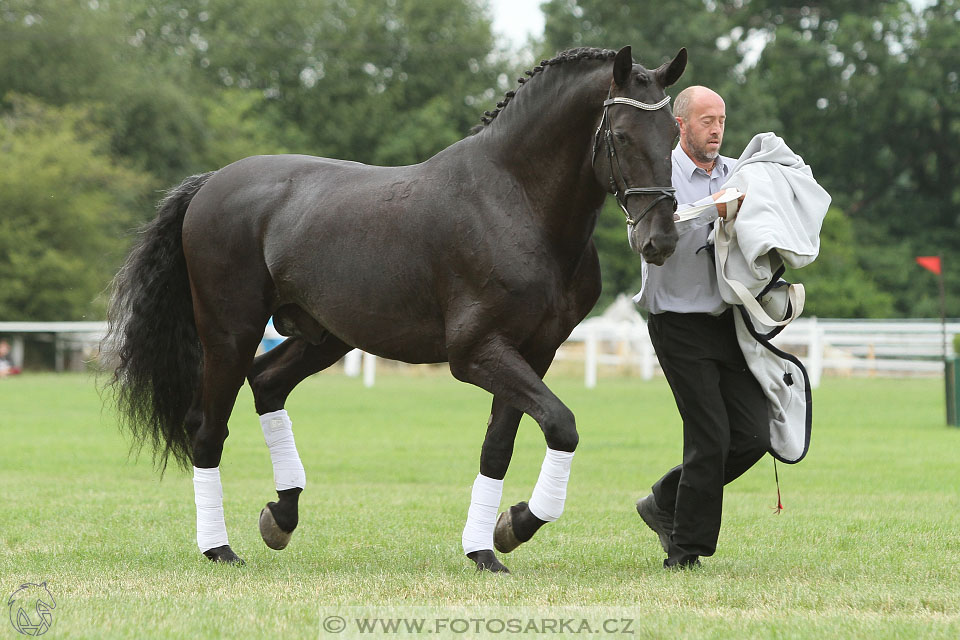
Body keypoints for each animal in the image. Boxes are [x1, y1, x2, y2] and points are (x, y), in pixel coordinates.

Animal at [107, 46, 684, 576]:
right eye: (623, 136)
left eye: (675, 136)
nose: (659, 241)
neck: (516, 201)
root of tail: (212, 182)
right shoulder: (476, 353)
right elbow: (562, 425)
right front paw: (512, 527)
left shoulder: (534, 352)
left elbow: (499, 446)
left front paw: (491, 543)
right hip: (231, 334)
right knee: (208, 429)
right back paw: (219, 548)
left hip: (326, 336)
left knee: (267, 382)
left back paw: (282, 516)